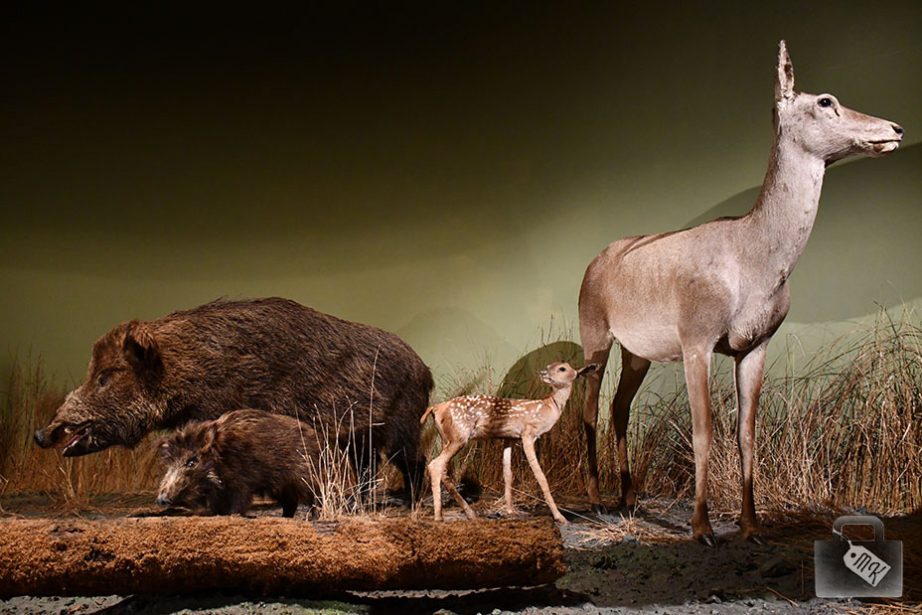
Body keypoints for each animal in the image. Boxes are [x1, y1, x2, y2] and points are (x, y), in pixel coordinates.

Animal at [422, 361, 599, 524]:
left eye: (562, 368)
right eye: (551, 365)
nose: (543, 372)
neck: (548, 407)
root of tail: (436, 407)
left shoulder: (510, 437)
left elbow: (508, 474)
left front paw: (510, 510)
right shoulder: (528, 434)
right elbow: (541, 476)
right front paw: (560, 517)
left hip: (447, 438)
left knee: (443, 470)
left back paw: (470, 513)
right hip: (459, 436)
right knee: (435, 465)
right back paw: (438, 516)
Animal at [578, 41, 903, 545]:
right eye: (825, 100)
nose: (894, 129)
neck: (753, 259)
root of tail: (596, 261)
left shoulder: (754, 345)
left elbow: (746, 433)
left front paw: (752, 526)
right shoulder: (697, 342)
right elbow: (703, 430)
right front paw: (702, 527)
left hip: (638, 354)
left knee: (619, 406)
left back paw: (628, 499)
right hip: (595, 337)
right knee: (589, 407)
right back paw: (594, 500)